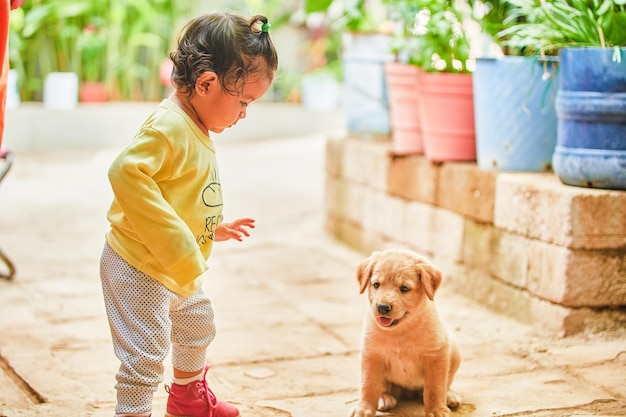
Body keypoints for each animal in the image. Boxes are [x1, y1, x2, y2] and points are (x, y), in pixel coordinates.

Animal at [348, 249, 460, 414]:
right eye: (376, 284)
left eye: (404, 288)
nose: (382, 307)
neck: (400, 331)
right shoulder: (371, 354)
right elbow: (368, 385)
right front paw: (364, 408)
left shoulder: (436, 354)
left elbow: (435, 387)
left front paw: (437, 410)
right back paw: (384, 398)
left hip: (455, 352)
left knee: (445, 384)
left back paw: (450, 396)